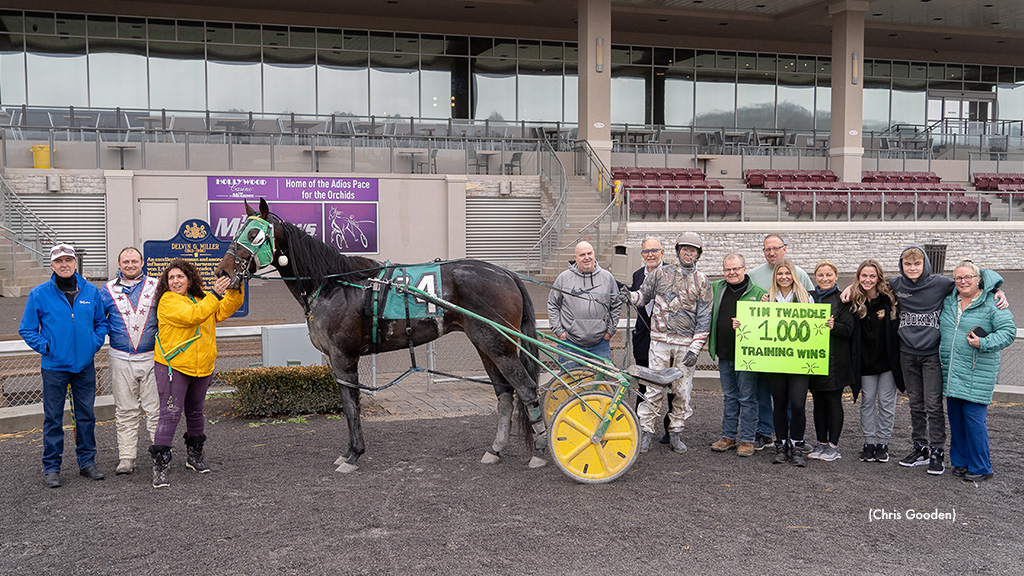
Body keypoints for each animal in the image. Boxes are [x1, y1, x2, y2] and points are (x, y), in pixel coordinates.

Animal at [218, 196, 552, 471]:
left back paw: (539, 451)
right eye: (237, 231)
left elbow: (352, 406)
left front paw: (353, 455)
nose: (223, 271)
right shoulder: (337, 361)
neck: (334, 285)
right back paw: (494, 450)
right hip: (485, 345)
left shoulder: (344, 357)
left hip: (499, 345)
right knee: (504, 393)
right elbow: (348, 405)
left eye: (253, 234)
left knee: (525, 389)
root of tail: (506, 273)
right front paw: (348, 452)